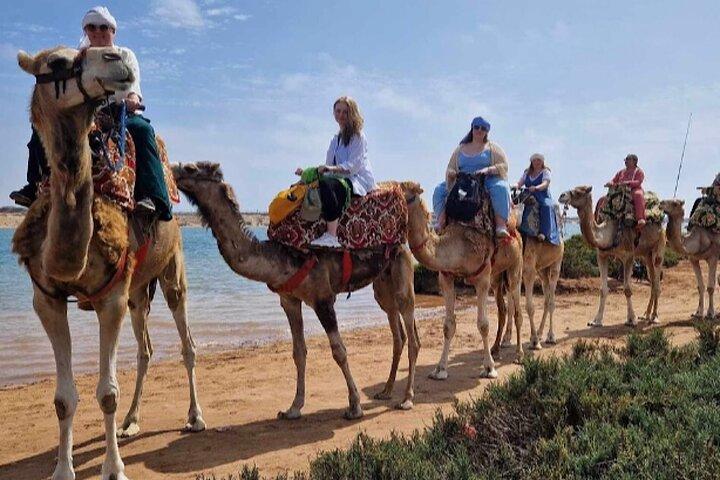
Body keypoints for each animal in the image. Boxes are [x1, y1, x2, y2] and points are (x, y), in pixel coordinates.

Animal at [13, 47, 205, 480]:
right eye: (55, 64)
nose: (118, 58)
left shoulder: (110, 299)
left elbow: (106, 393)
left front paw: (114, 469)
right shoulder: (46, 300)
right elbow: (63, 398)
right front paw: (62, 470)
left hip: (172, 271)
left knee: (186, 344)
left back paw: (195, 417)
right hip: (138, 291)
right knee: (145, 349)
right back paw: (131, 422)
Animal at [171, 162, 419, 419]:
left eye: (190, 168)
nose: (172, 170)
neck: (281, 257)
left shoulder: (323, 299)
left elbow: (339, 351)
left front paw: (355, 406)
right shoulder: (289, 300)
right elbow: (298, 352)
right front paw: (293, 407)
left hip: (401, 266)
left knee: (411, 335)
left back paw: (407, 399)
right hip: (383, 283)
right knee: (400, 334)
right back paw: (386, 391)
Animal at [399, 182, 523, 381]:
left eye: (401, 192)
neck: (457, 246)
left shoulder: (482, 279)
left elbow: (483, 324)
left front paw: (489, 368)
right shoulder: (446, 278)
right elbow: (448, 325)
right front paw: (440, 369)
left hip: (515, 265)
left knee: (517, 309)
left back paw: (519, 355)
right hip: (497, 277)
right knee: (502, 310)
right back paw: (496, 349)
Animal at [558, 186, 666, 327]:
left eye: (579, 191)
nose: (562, 195)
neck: (610, 234)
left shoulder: (629, 256)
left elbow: (627, 289)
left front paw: (632, 319)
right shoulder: (602, 256)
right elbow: (603, 289)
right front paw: (596, 320)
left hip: (659, 244)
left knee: (657, 281)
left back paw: (654, 317)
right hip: (646, 253)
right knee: (652, 281)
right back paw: (645, 315)